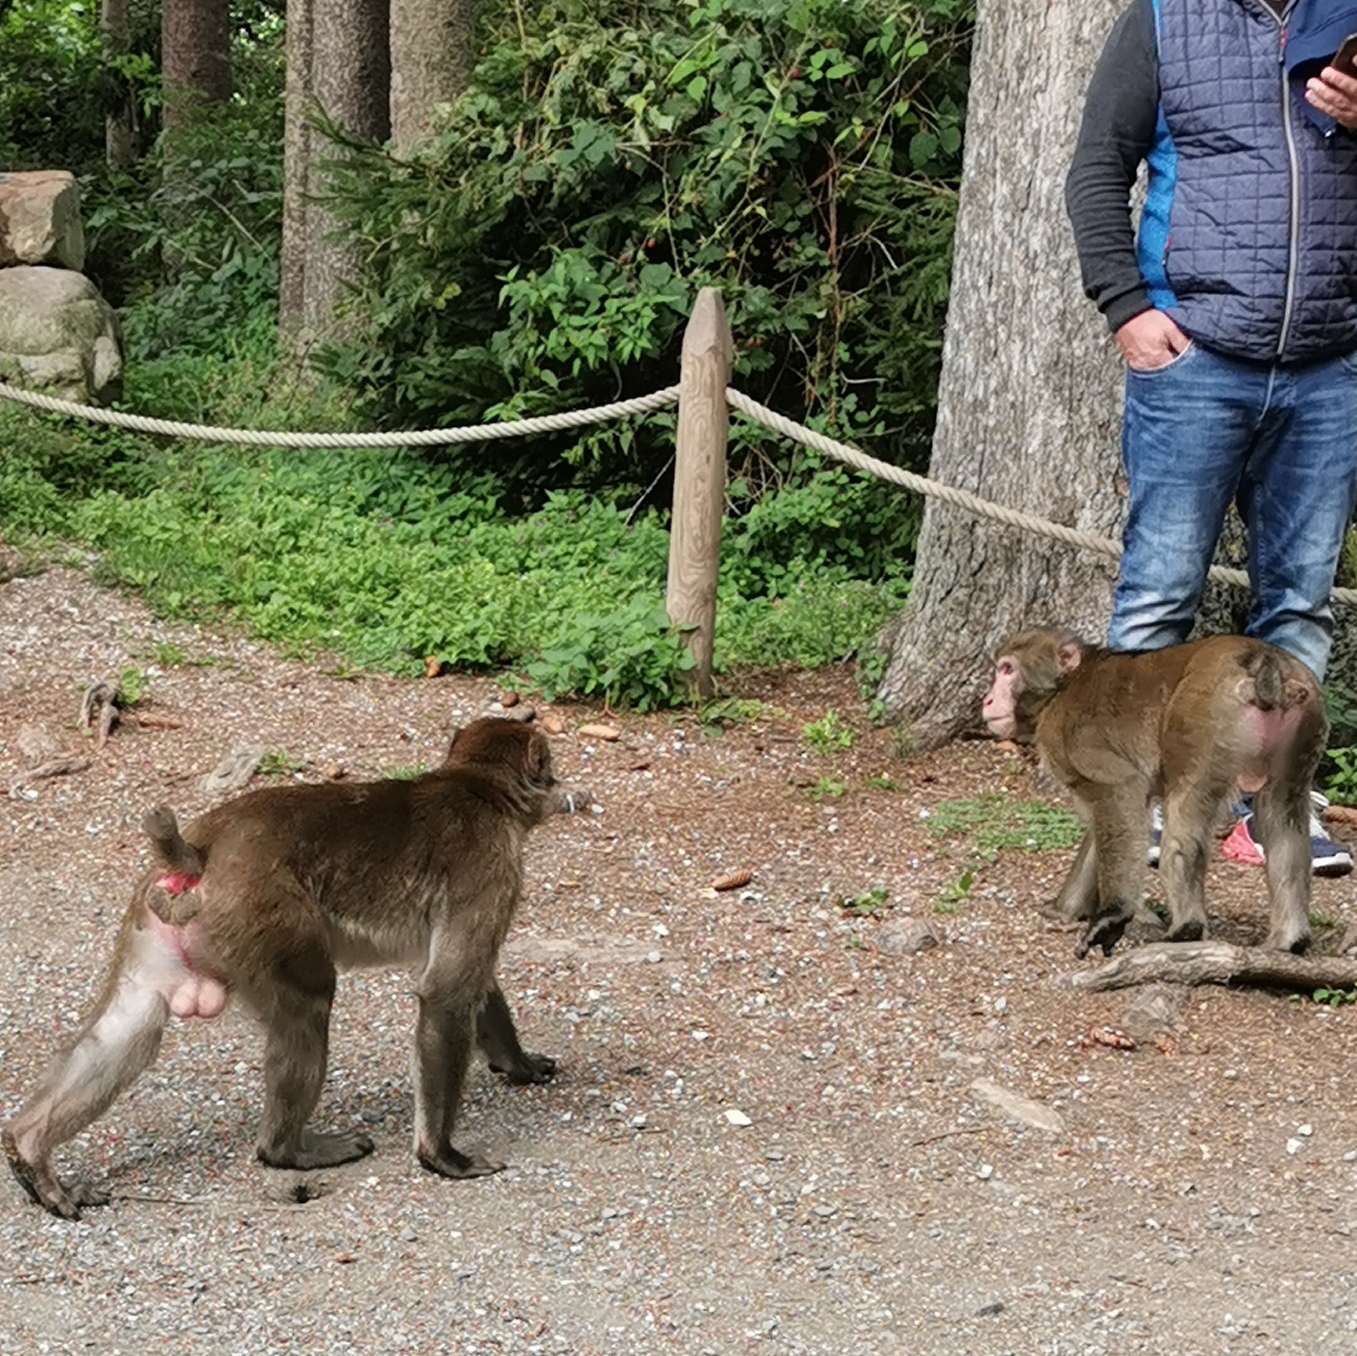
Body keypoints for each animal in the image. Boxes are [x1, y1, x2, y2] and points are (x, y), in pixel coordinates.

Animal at [3, 722, 588, 1221]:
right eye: (549, 768)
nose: (561, 788)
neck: (476, 786)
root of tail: (198, 852)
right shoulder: (489, 867)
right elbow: (447, 992)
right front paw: (442, 1156)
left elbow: (470, 985)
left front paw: (518, 1063)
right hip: (263, 914)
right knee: (310, 1002)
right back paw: (287, 1151)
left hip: (157, 919)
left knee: (131, 1025)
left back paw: (30, 1151)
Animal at [982, 629, 1329, 961]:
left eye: (1007, 669)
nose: (987, 700)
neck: (1061, 689)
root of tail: (1264, 657)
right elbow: (1109, 821)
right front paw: (1066, 908)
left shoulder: (1070, 736)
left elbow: (1121, 788)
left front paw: (1113, 913)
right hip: (1306, 720)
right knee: (1282, 816)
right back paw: (1290, 940)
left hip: (1203, 715)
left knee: (1184, 815)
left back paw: (1186, 929)